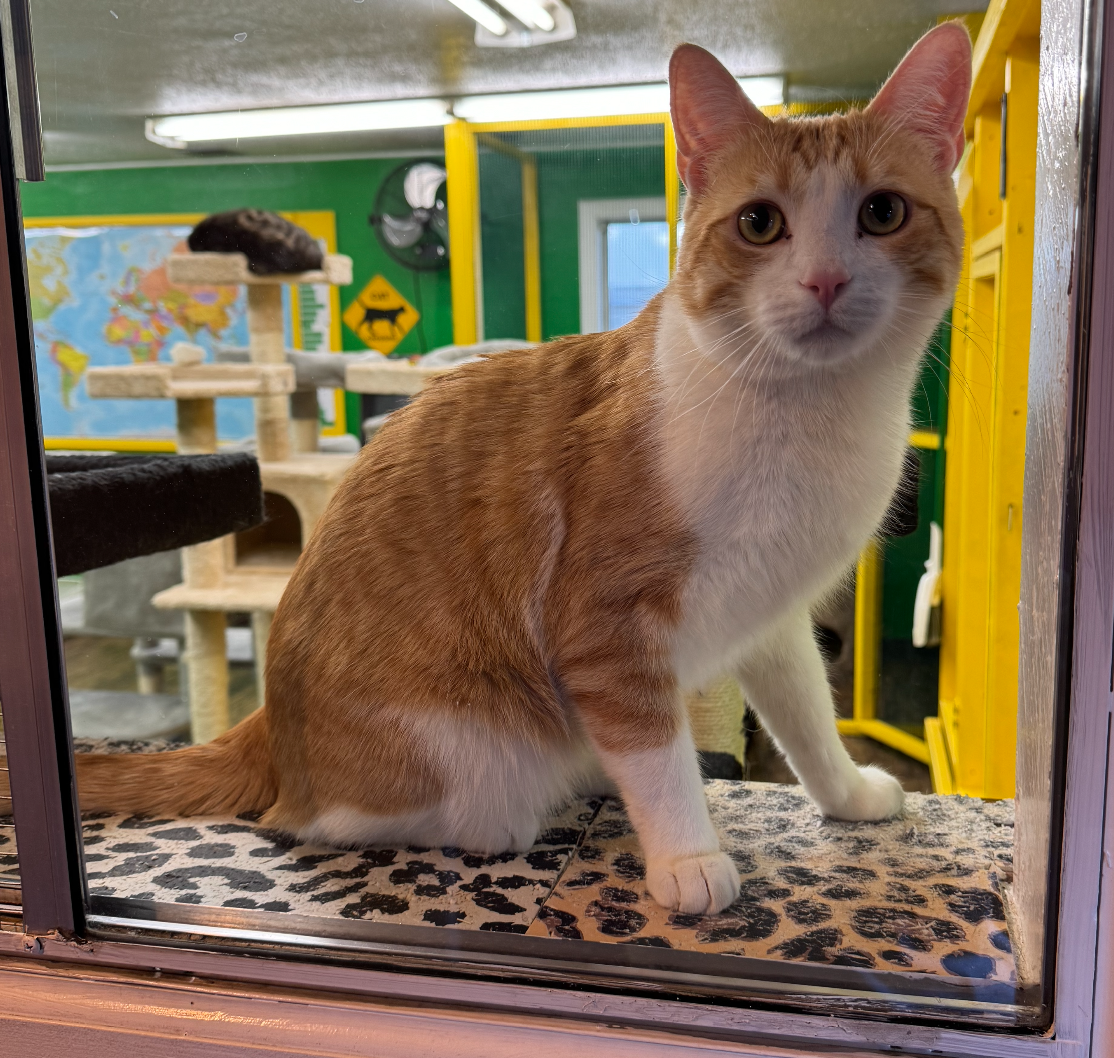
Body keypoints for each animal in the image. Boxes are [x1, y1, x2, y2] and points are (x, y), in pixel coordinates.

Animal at [4, 25, 970, 917]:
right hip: (472, 744)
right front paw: (687, 856)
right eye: (761, 223)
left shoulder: (773, 613)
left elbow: (807, 718)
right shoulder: (606, 628)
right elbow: (656, 752)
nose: (825, 281)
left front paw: (848, 794)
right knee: (339, 819)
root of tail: (269, 724)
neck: (808, 414)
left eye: (882, 213)